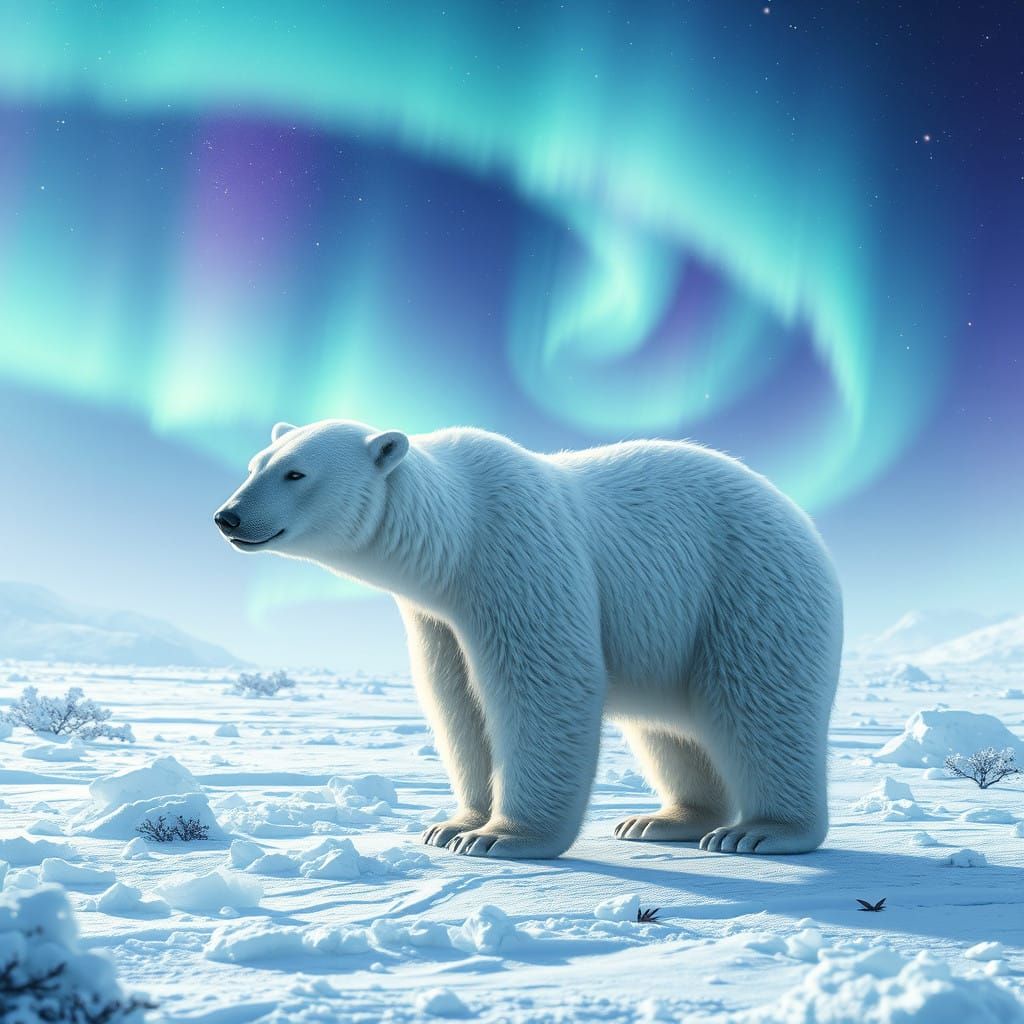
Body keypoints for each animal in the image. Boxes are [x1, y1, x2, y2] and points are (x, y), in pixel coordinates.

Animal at [215, 420, 842, 859]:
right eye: (253, 464)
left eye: (295, 473)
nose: (228, 517)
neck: (456, 531)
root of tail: (800, 519)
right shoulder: (437, 615)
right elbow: (456, 702)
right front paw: (452, 825)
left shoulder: (516, 554)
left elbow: (541, 684)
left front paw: (501, 838)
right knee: (668, 730)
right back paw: (660, 820)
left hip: (748, 589)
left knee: (760, 705)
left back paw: (760, 832)